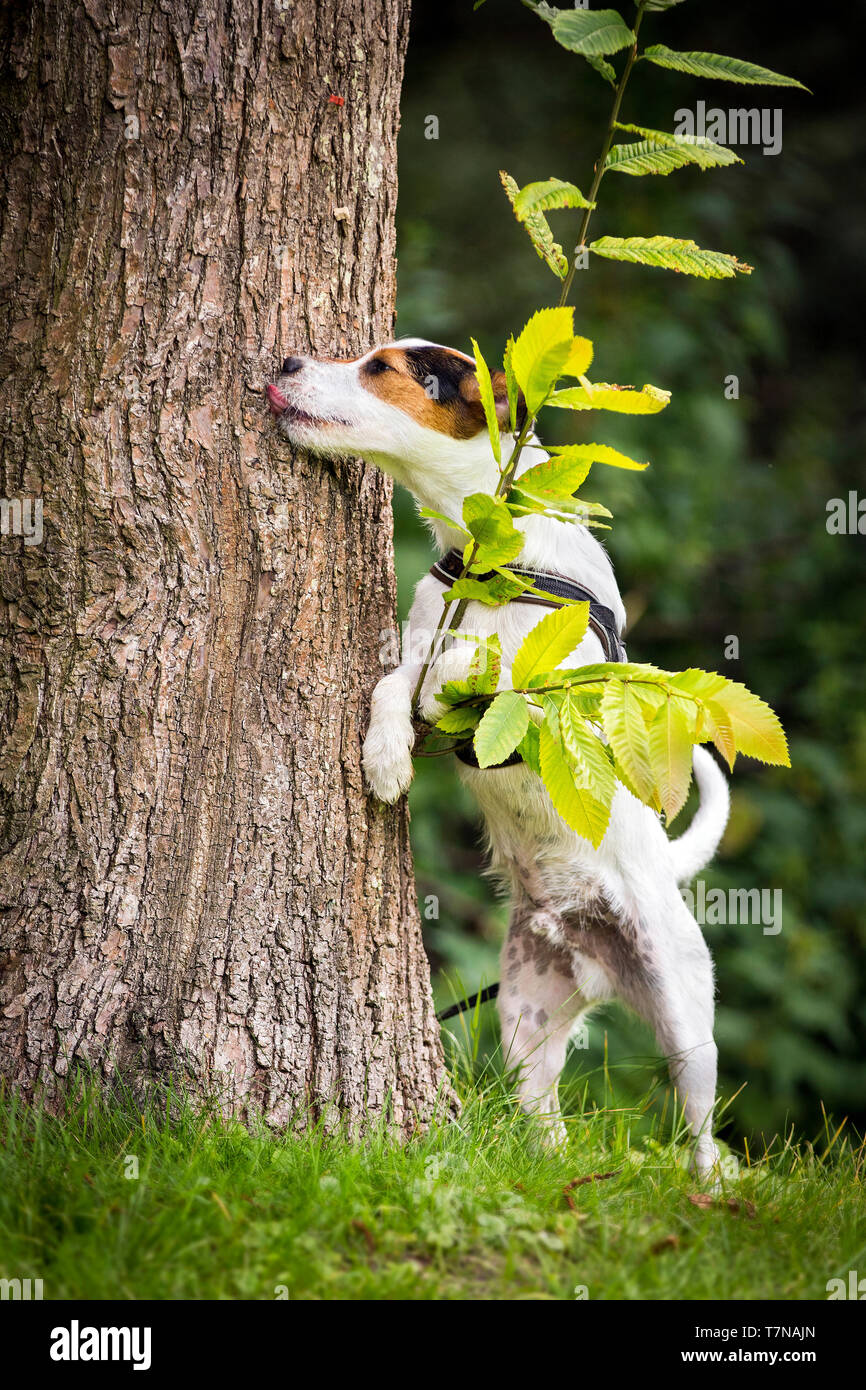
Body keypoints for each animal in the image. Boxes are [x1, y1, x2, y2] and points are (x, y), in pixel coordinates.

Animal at [268, 339, 728, 1173]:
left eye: (381, 367)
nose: (286, 360)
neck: (489, 555)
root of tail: (587, 944)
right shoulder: (418, 649)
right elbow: (397, 682)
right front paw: (386, 757)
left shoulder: (563, 704)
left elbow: (483, 670)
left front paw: (459, 673)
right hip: (524, 1017)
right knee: (545, 1112)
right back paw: (549, 1161)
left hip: (685, 1018)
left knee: (704, 1126)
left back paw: (707, 1184)